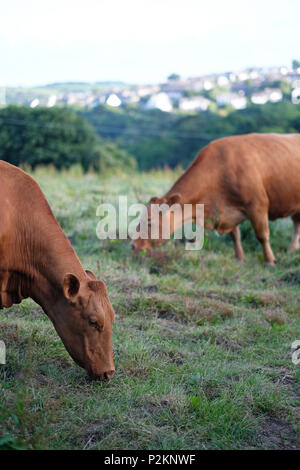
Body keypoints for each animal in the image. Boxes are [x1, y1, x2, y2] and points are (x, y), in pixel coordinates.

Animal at [133, 133, 300, 264]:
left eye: (149, 221)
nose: (133, 245)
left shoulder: (257, 205)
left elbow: (262, 235)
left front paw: (269, 261)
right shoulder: (228, 211)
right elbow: (235, 235)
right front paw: (239, 258)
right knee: (296, 223)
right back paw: (292, 249)